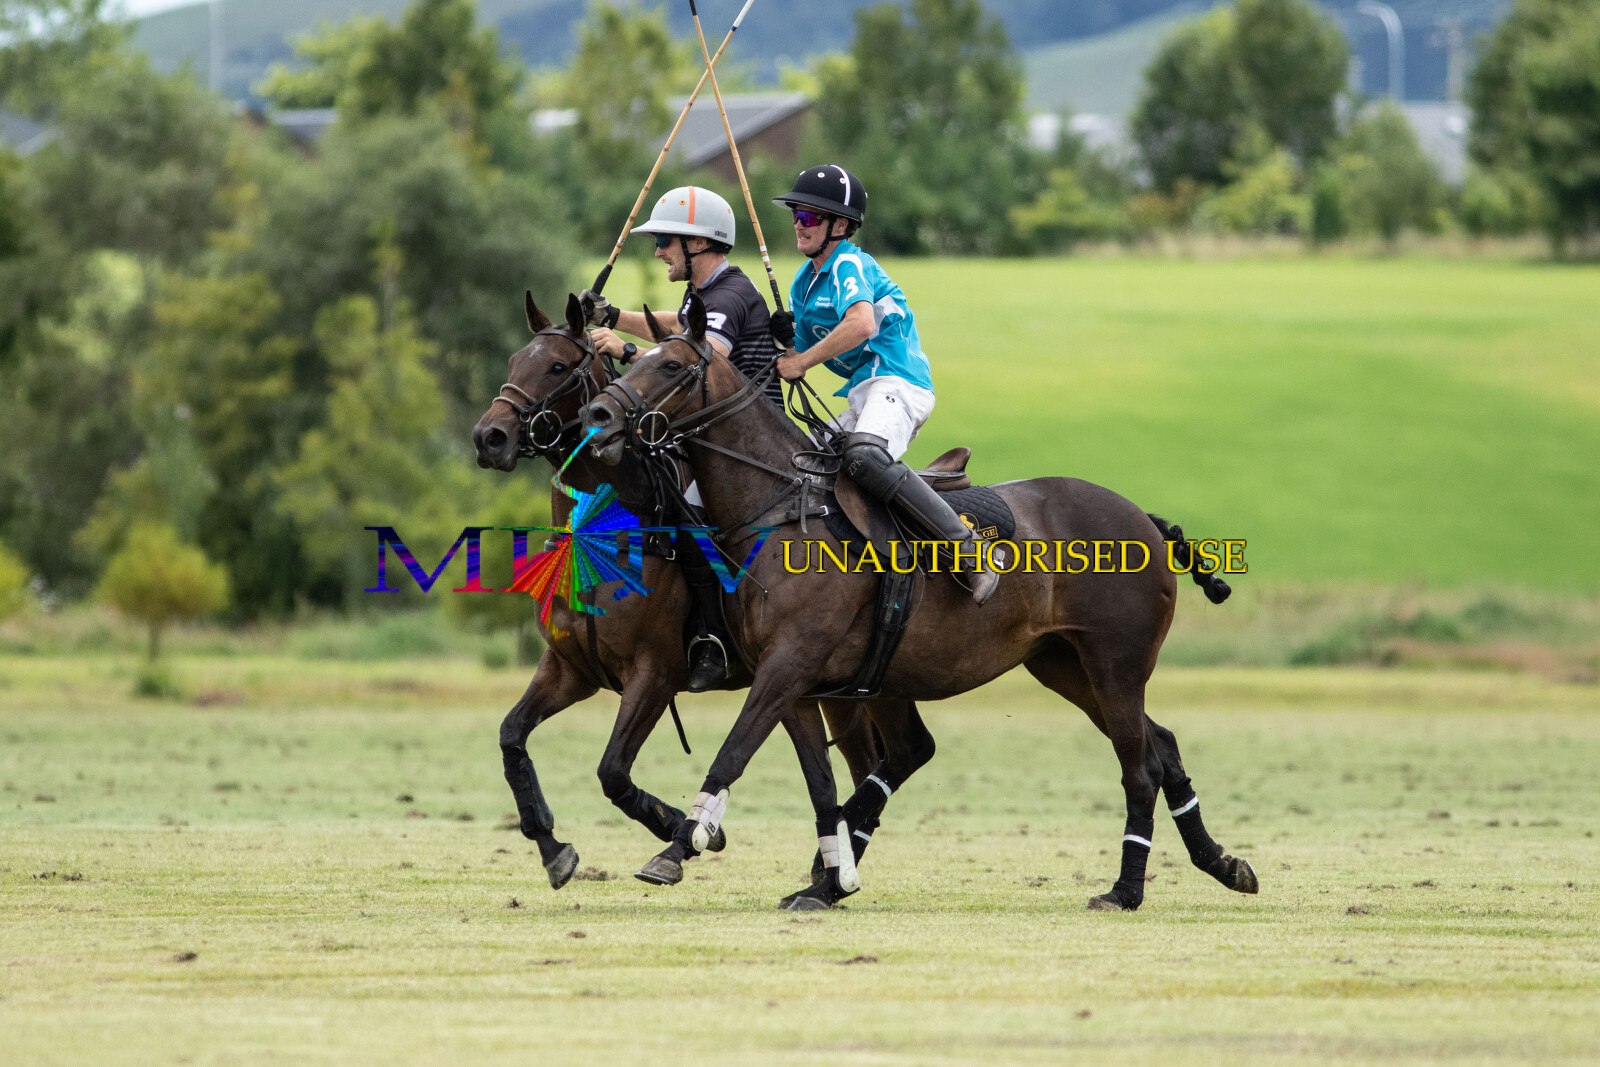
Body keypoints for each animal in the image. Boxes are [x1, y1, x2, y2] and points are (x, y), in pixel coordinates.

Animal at [471, 291, 904, 897]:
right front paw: (554, 850)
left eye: (557, 366)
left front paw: (685, 833)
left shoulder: (655, 672)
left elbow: (612, 772)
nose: (489, 437)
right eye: (514, 360)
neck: (605, 530)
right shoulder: (570, 668)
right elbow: (512, 736)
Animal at [578, 292, 1258, 911]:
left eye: (670, 365)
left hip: (1115, 664)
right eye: (635, 357)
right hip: (1064, 664)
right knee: (1159, 745)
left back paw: (1125, 889)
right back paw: (1223, 863)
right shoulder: (793, 683)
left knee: (1138, 767)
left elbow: (733, 753)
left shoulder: (787, 666)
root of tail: (1144, 518)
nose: (598, 416)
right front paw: (829, 877)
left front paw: (685, 842)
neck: (778, 508)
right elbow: (819, 784)